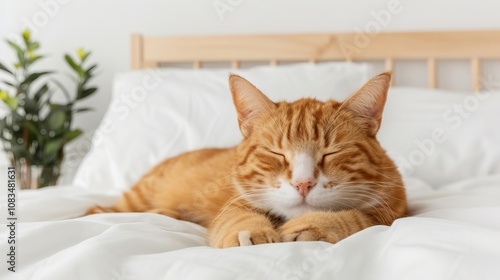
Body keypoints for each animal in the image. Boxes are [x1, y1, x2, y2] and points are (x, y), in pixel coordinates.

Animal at [86, 71, 406, 247]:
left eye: (331, 152)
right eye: (276, 153)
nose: (303, 184)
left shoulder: (392, 211)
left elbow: (356, 218)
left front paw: (315, 225)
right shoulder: (235, 204)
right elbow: (237, 218)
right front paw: (250, 232)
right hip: (135, 199)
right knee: (98, 209)